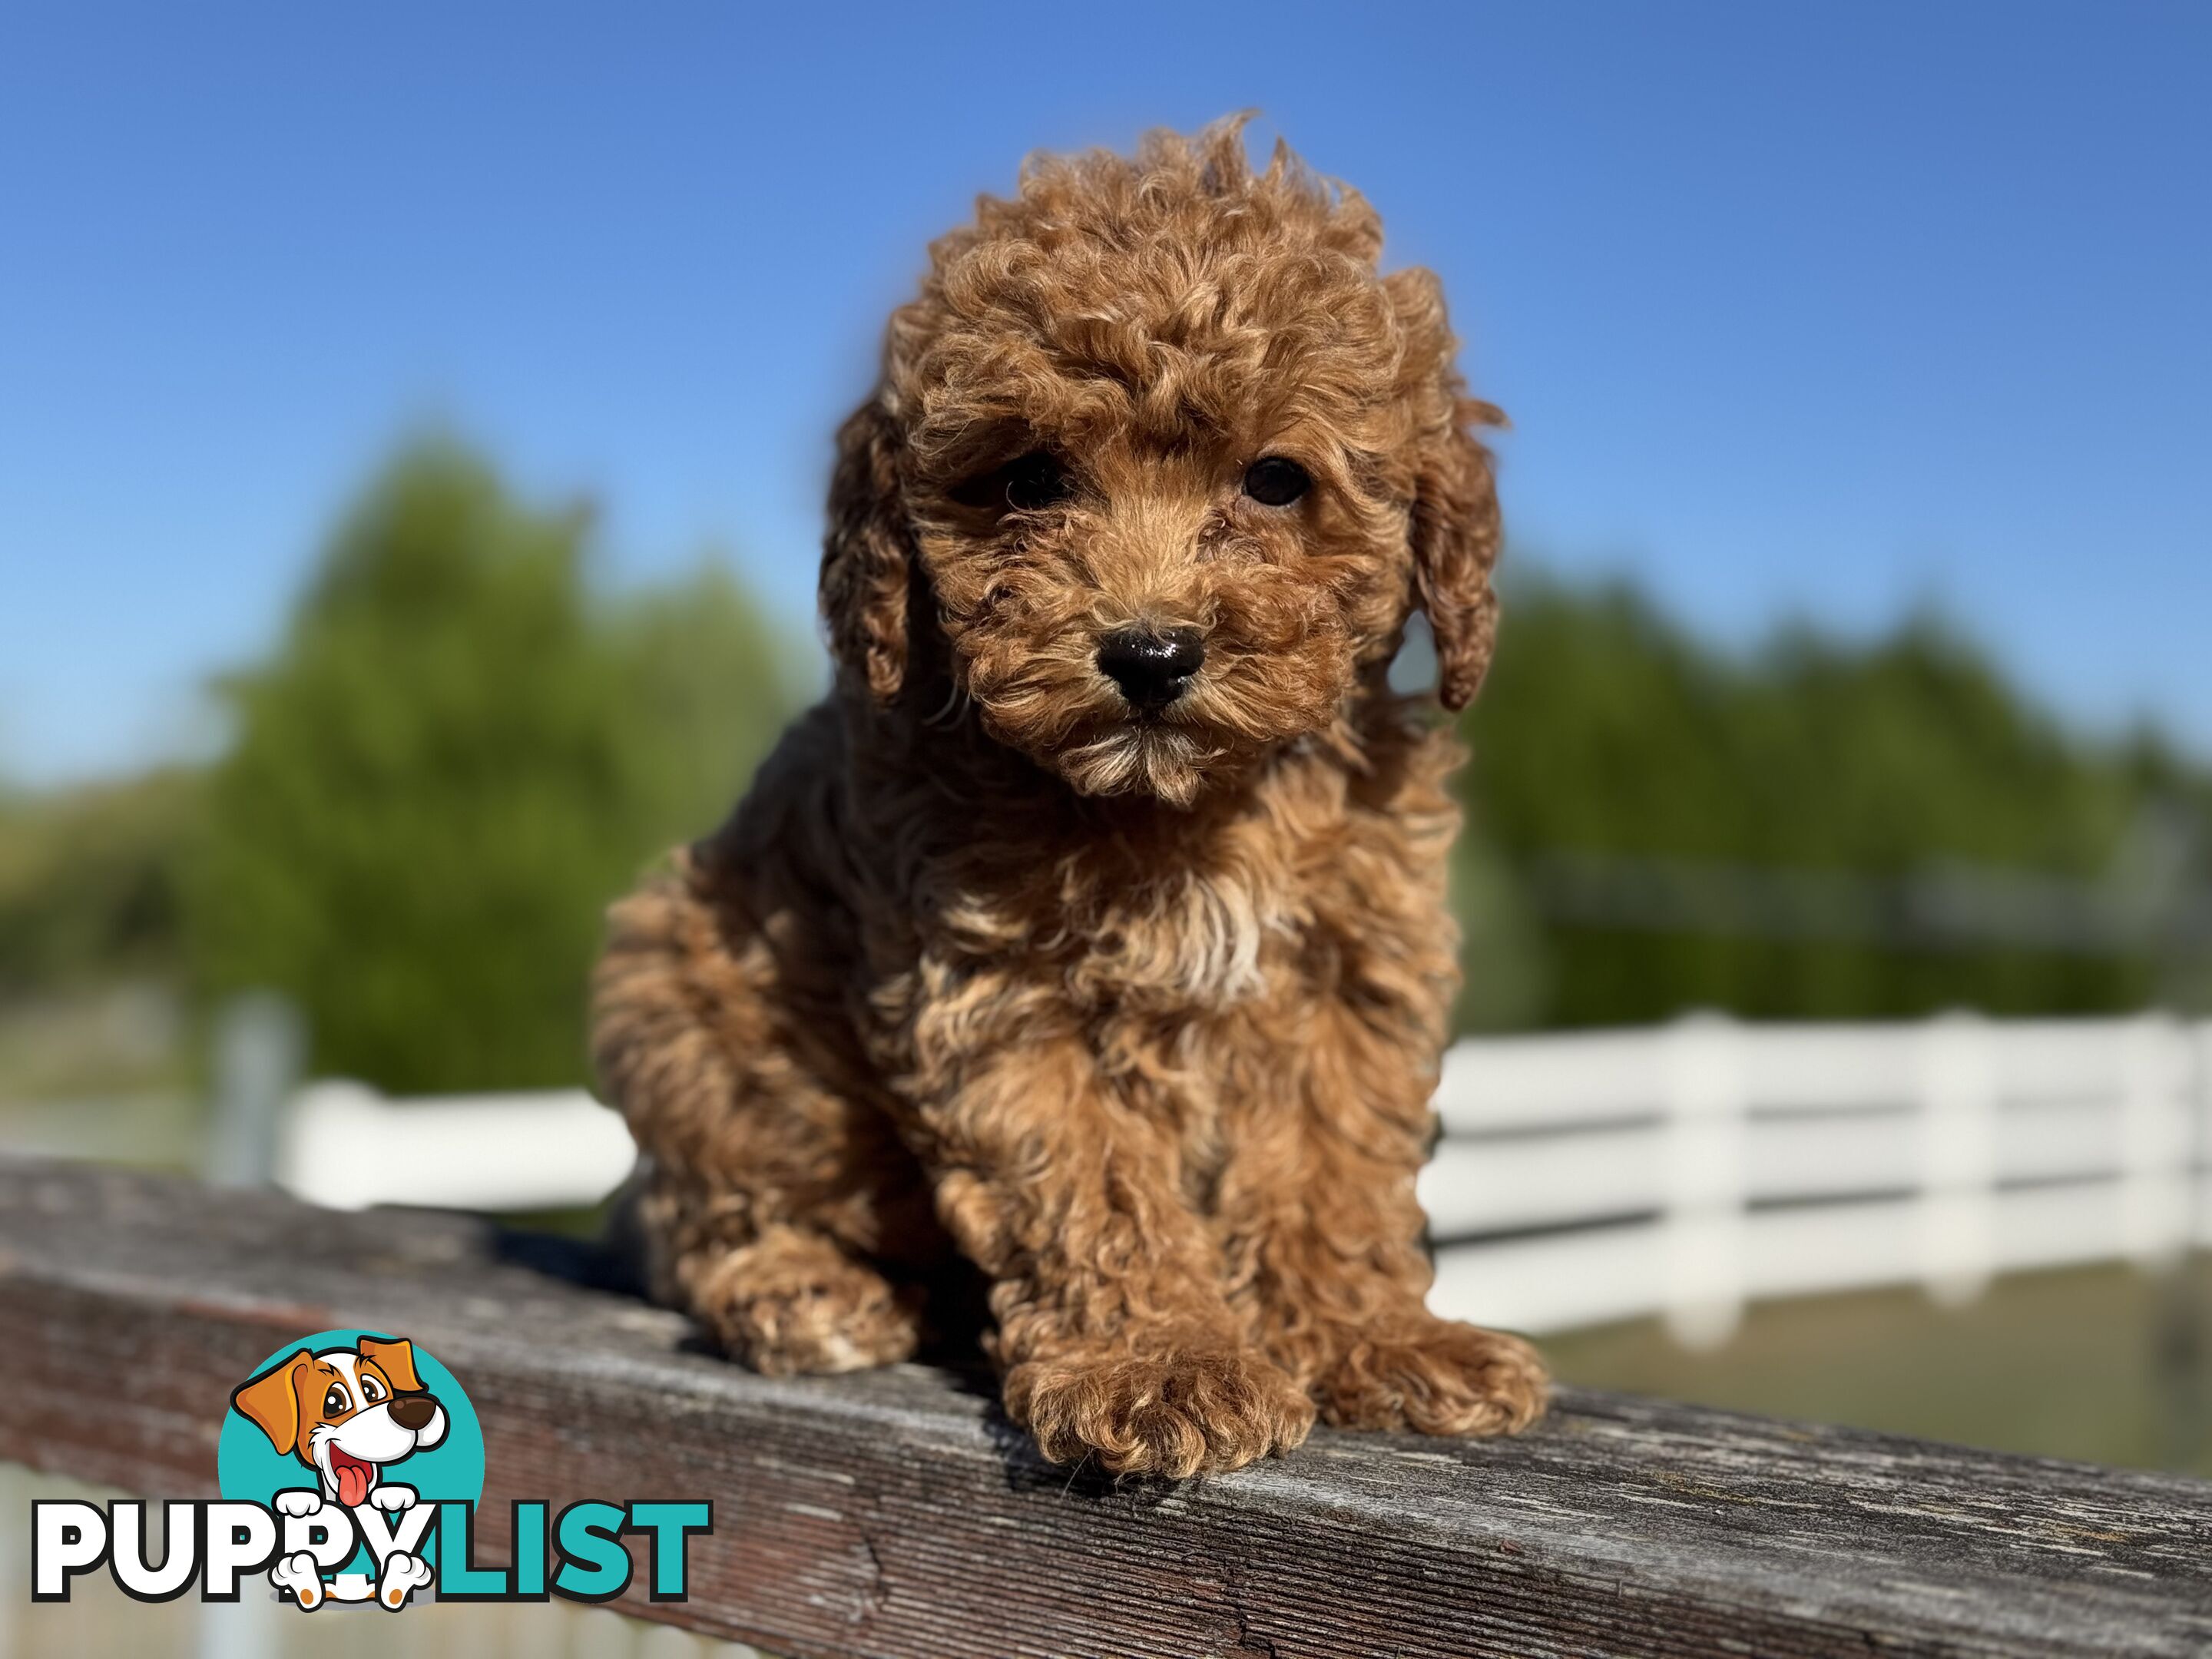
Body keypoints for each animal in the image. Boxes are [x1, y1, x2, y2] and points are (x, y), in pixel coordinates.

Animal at [597, 123, 1548, 1486]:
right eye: (1031, 479)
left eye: (1276, 482)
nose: (1149, 654)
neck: (1176, 808)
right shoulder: (1001, 993)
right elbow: (1093, 1182)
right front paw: (1162, 1364)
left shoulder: (1348, 969)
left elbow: (1334, 1165)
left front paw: (1377, 1339)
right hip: (684, 998)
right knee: (694, 1214)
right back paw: (800, 1290)